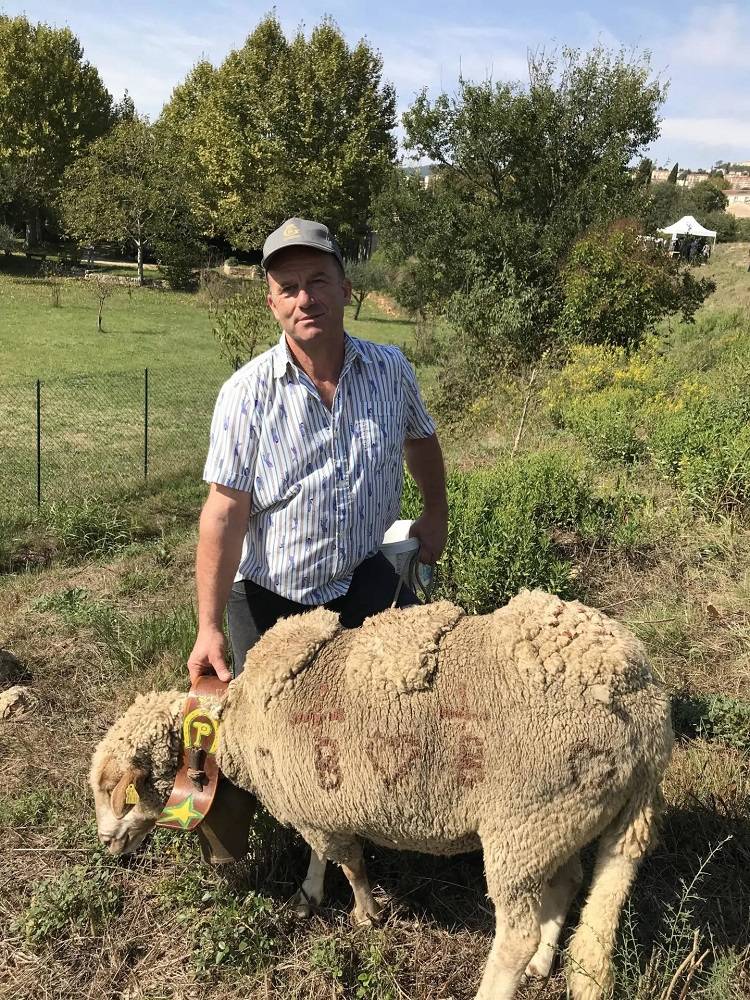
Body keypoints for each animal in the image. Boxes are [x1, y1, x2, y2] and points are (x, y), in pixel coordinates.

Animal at [91, 588, 672, 996]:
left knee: (517, 931)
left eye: (123, 792)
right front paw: (309, 895)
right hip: (562, 819)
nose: (106, 845)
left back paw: (504, 977)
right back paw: (542, 963)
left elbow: (349, 864)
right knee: (567, 882)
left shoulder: (321, 809)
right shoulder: (318, 803)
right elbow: (321, 856)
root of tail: (649, 715)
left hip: (523, 825)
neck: (237, 727)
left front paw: (366, 915)